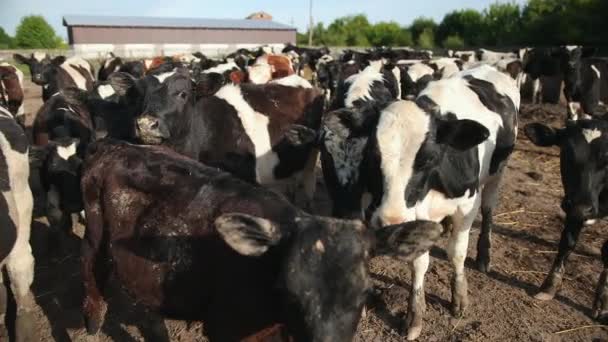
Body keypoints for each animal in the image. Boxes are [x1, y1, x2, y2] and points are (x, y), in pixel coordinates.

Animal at [79, 139, 442, 342]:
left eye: (365, 294)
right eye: (287, 290)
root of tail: (114, 146)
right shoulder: (225, 329)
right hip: (95, 234)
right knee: (92, 273)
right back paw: (92, 323)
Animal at [366, 65, 516, 340]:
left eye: (427, 158)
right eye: (373, 156)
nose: (392, 221)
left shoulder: (466, 207)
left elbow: (456, 253)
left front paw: (459, 298)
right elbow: (418, 263)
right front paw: (414, 316)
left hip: (497, 173)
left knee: (489, 209)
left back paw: (484, 255)